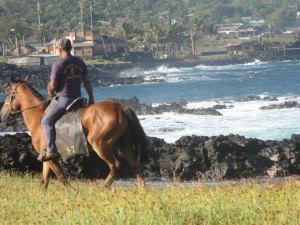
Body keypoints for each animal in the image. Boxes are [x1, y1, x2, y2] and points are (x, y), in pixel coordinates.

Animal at [0, 76, 148, 190]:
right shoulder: (46, 157)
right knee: (136, 167)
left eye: (8, 93)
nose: (2, 114)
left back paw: (104, 186)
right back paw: (141, 190)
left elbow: (61, 177)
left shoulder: (52, 157)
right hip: (124, 146)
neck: (38, 117)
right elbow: (44, 180)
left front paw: (71, 191)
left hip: (101, 145)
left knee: (115, 165)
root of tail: (121, 108)